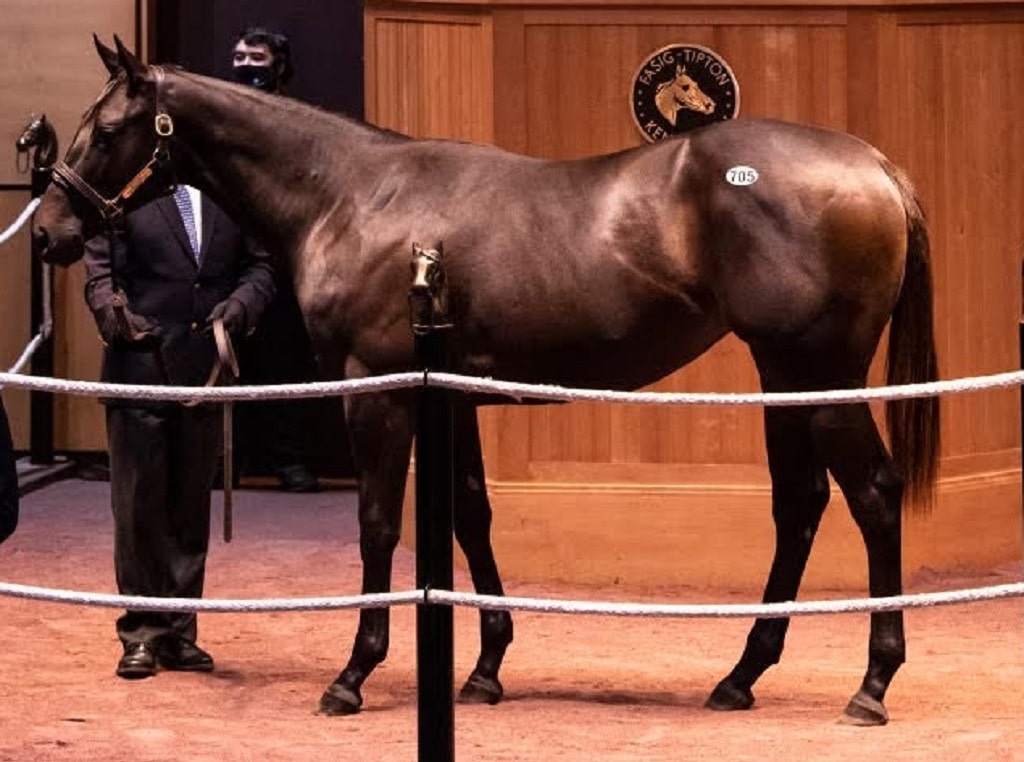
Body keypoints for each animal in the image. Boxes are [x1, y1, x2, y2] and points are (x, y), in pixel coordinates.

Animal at [28, 37, 937, 725]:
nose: (49, 232)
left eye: (109, 129)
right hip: (786, 377)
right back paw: (741, 676)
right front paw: (488, 667)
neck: (352, 195)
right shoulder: (449, 393)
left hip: (822, 375)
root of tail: (876, 167)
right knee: (801, 506)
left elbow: (377, 526)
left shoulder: (381, 393)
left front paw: (353, 675)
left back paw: (871, 684)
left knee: (872, 496)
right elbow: (470, 515)